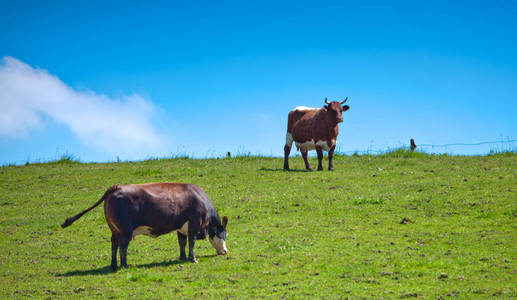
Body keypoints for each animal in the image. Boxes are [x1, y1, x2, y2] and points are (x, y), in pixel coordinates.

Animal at [61, 182, 227, 270]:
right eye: (224, 235)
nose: (225, 251)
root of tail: (116, 187)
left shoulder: (181, 227)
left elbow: (182, 242)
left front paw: (182, 257)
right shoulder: (194, 223)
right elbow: (191, 242)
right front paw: (192, 259)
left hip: (115, 230)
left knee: (114, 245)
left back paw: (114, 265)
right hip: (125, 230)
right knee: (122, 246)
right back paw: (124, 265)